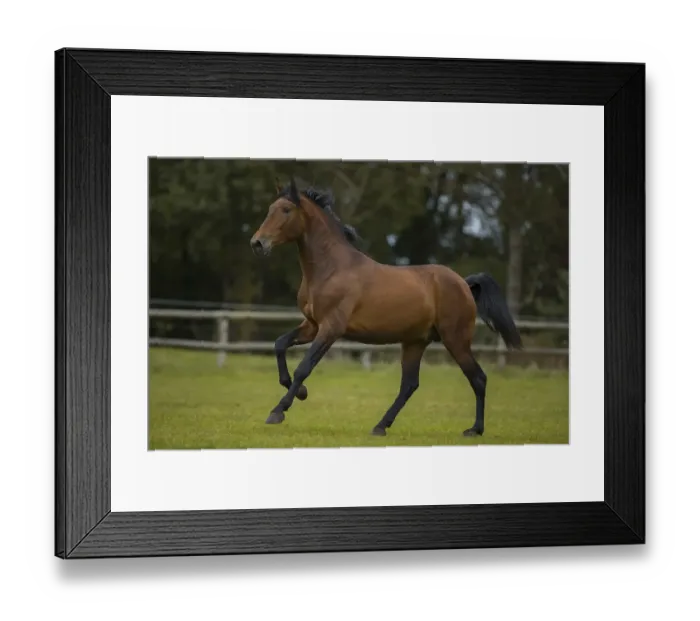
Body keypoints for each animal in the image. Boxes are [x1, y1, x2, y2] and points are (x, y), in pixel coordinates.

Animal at [250, 177, 523, 437]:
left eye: (286, 210)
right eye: (270, 208)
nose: (258, 243)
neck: (331, 269)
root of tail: (464, 284)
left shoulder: (331, 328)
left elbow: (304, 367)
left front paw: (278, 411)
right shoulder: (312, 325)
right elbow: (280, 345)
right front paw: (302, 393)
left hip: (455, 340)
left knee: (478, 378)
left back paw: (474, 429)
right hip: (415, 342)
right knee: (410, 385)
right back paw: (380, 426)